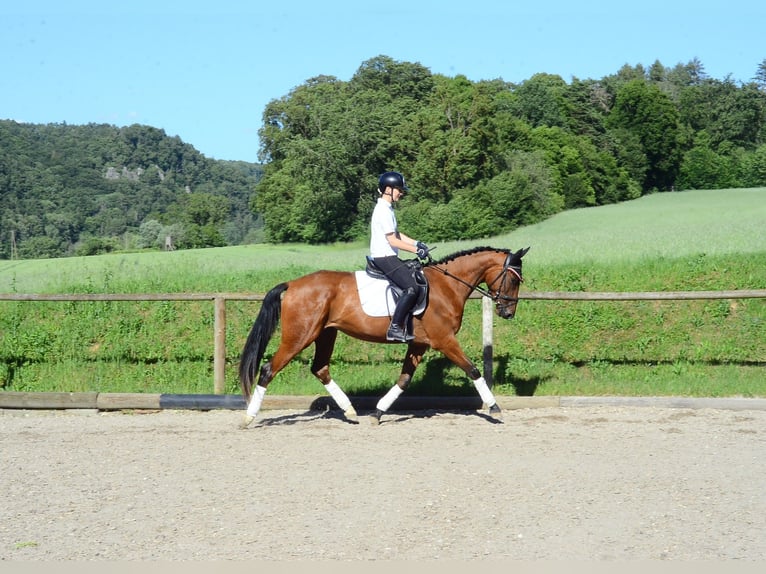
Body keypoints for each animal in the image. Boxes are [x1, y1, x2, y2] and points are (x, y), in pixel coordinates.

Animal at [238, 245, 530, 427]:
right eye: (514, 280)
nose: (508, 312)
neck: (447, 286)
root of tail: (292, 284)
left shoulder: (419, 343)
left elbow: (404, 380)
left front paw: (378, 411)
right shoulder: (444, 340)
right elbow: (473, 370)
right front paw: (494, 407)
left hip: (326, 334)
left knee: (320, 368)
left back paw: (350, 411)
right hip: (300, 336)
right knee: (268, 369)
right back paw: (249, 418)